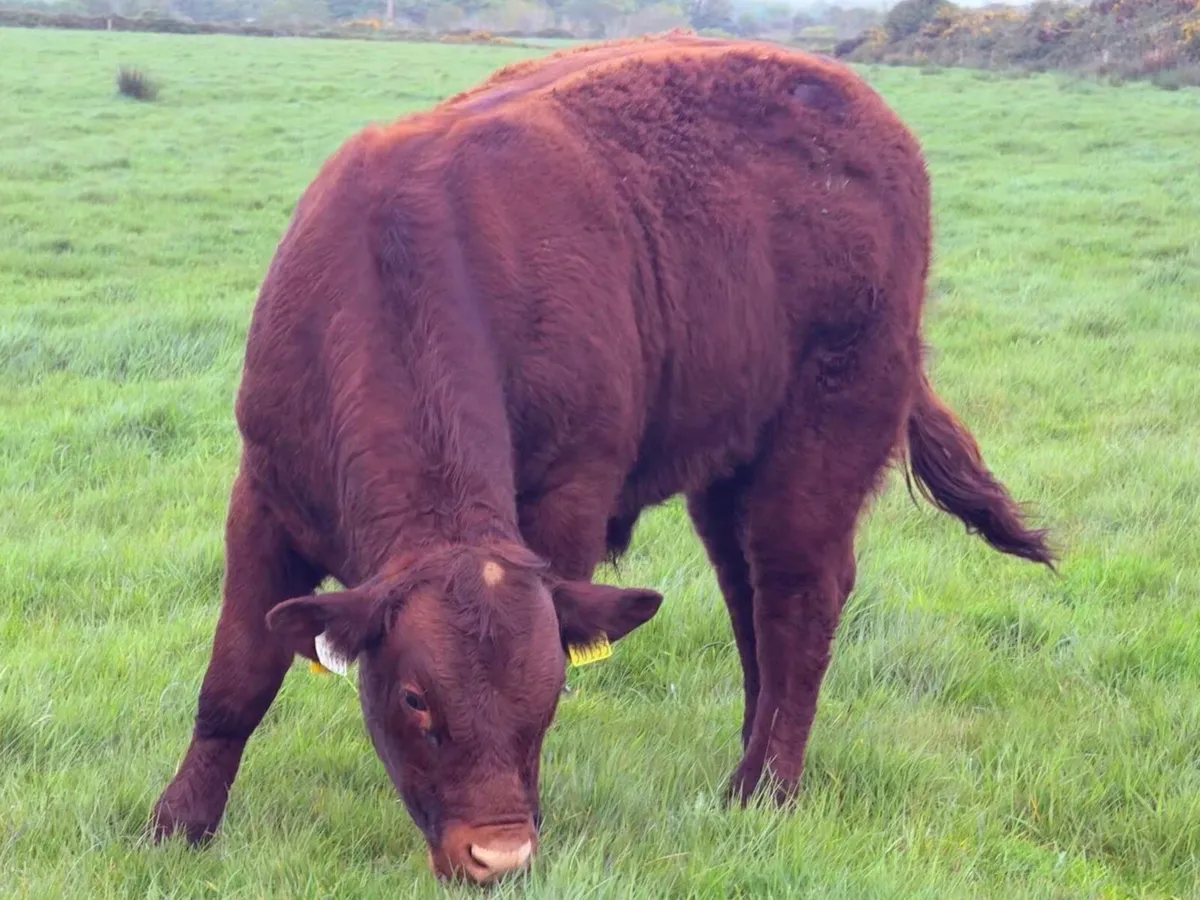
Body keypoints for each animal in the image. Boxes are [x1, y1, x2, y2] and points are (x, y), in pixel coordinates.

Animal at [150, 33, 1054, 884]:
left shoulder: (570, 494)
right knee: (750, 600)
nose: (498, 856)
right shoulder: (264, 492)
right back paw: (745, 759)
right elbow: (236, 676)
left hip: (823, 439)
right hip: (726, 465)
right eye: (414, 699)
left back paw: (766, 788)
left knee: (800, 601)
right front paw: (179, 825)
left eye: (548, 692)